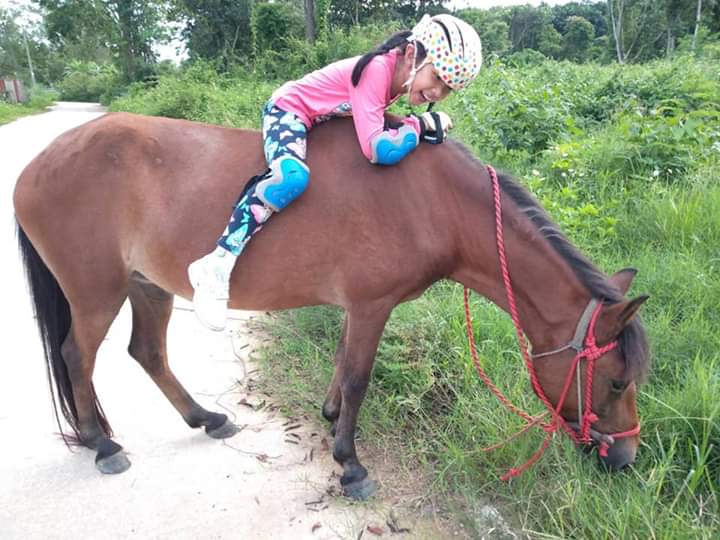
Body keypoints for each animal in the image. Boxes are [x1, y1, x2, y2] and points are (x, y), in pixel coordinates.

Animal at [13, 112, 650, 500]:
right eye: (617, 382)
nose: (626, 458)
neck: (434, 201)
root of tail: (36, 166)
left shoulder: (355, 307)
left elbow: (343, 367)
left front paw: (328, 417)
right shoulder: (372, 305)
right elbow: (360, 377)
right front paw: (350, 463)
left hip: (148, 285)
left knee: (147, 352)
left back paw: (207, 419)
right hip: (97, 293)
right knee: (77, 357)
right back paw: (101, 444)